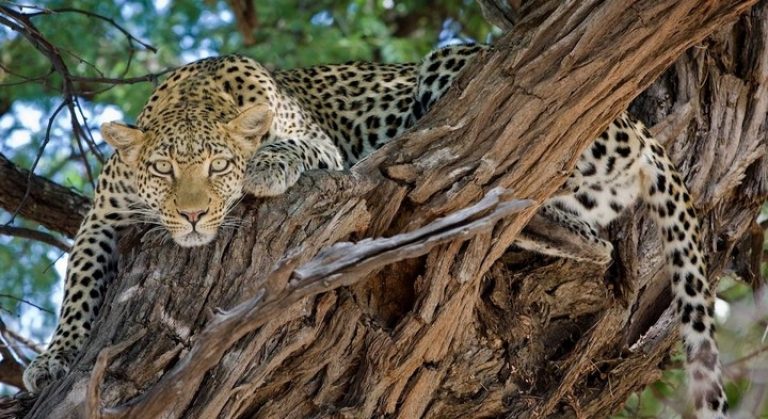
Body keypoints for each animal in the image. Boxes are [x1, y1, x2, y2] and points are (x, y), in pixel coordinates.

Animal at [22, 44, 726, 418]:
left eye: (219, 167)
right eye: (164, 170)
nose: (194, 216)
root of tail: (637, 123)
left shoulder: (320, 149)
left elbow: (296, 150)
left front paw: (266, 167)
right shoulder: (102, 218)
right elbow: (79, 290)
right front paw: (55, 359)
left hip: (453, 69)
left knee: (550, 191)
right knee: (574, 228)